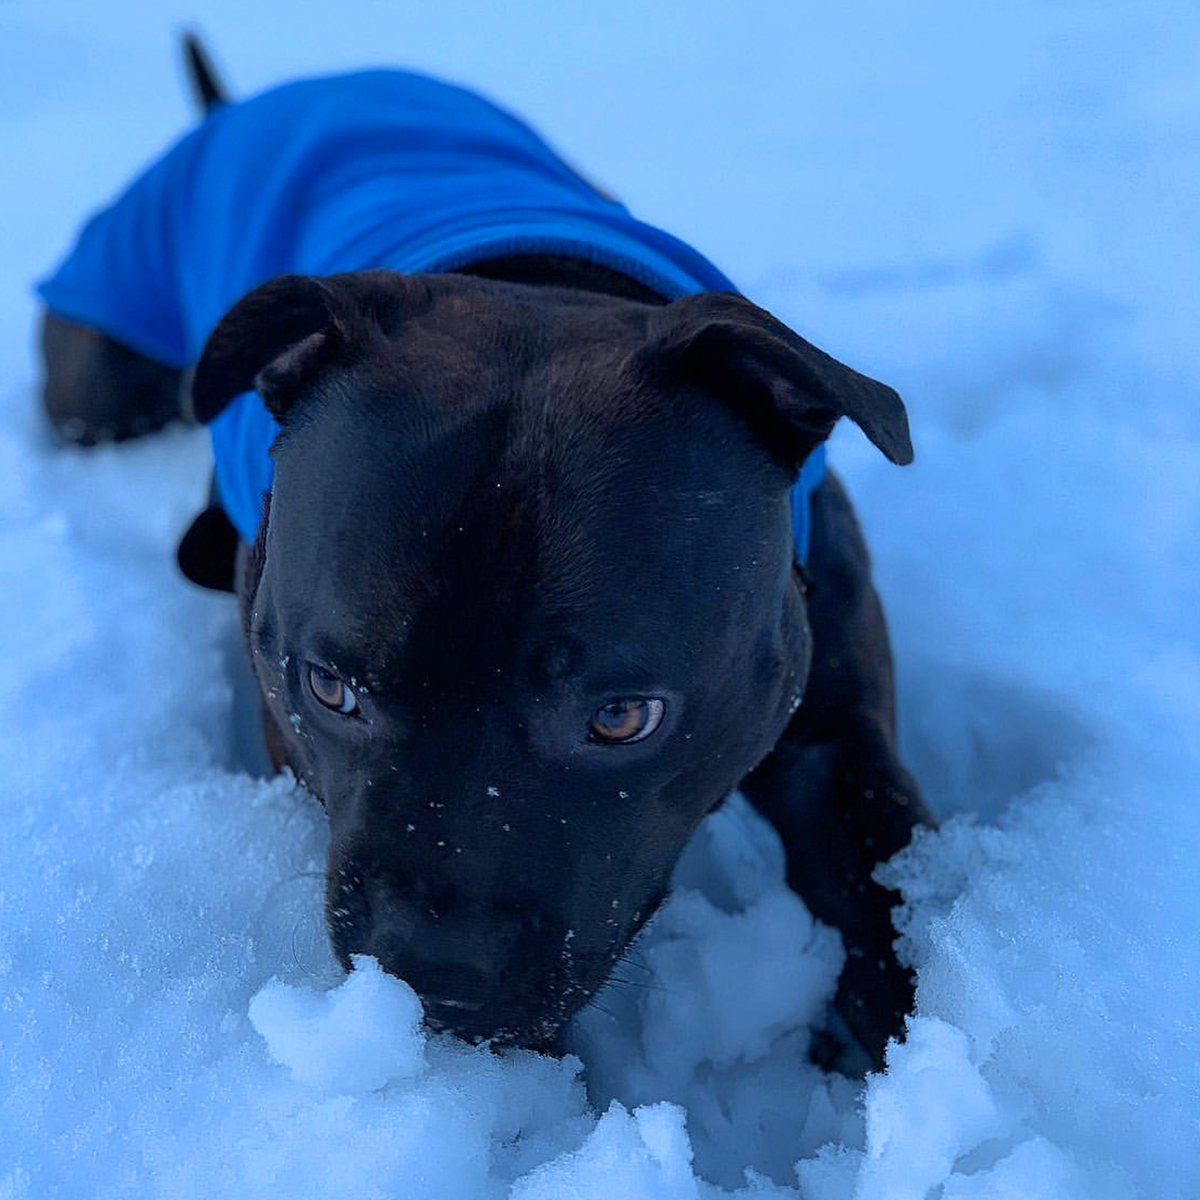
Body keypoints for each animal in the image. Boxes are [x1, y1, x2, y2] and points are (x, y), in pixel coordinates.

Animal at [37, 39, 931, 1070]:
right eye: (329, 689)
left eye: (624, 717)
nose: (434, 978)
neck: (541, 284)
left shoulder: (838, 746)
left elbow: (894, 916)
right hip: (101, 368)